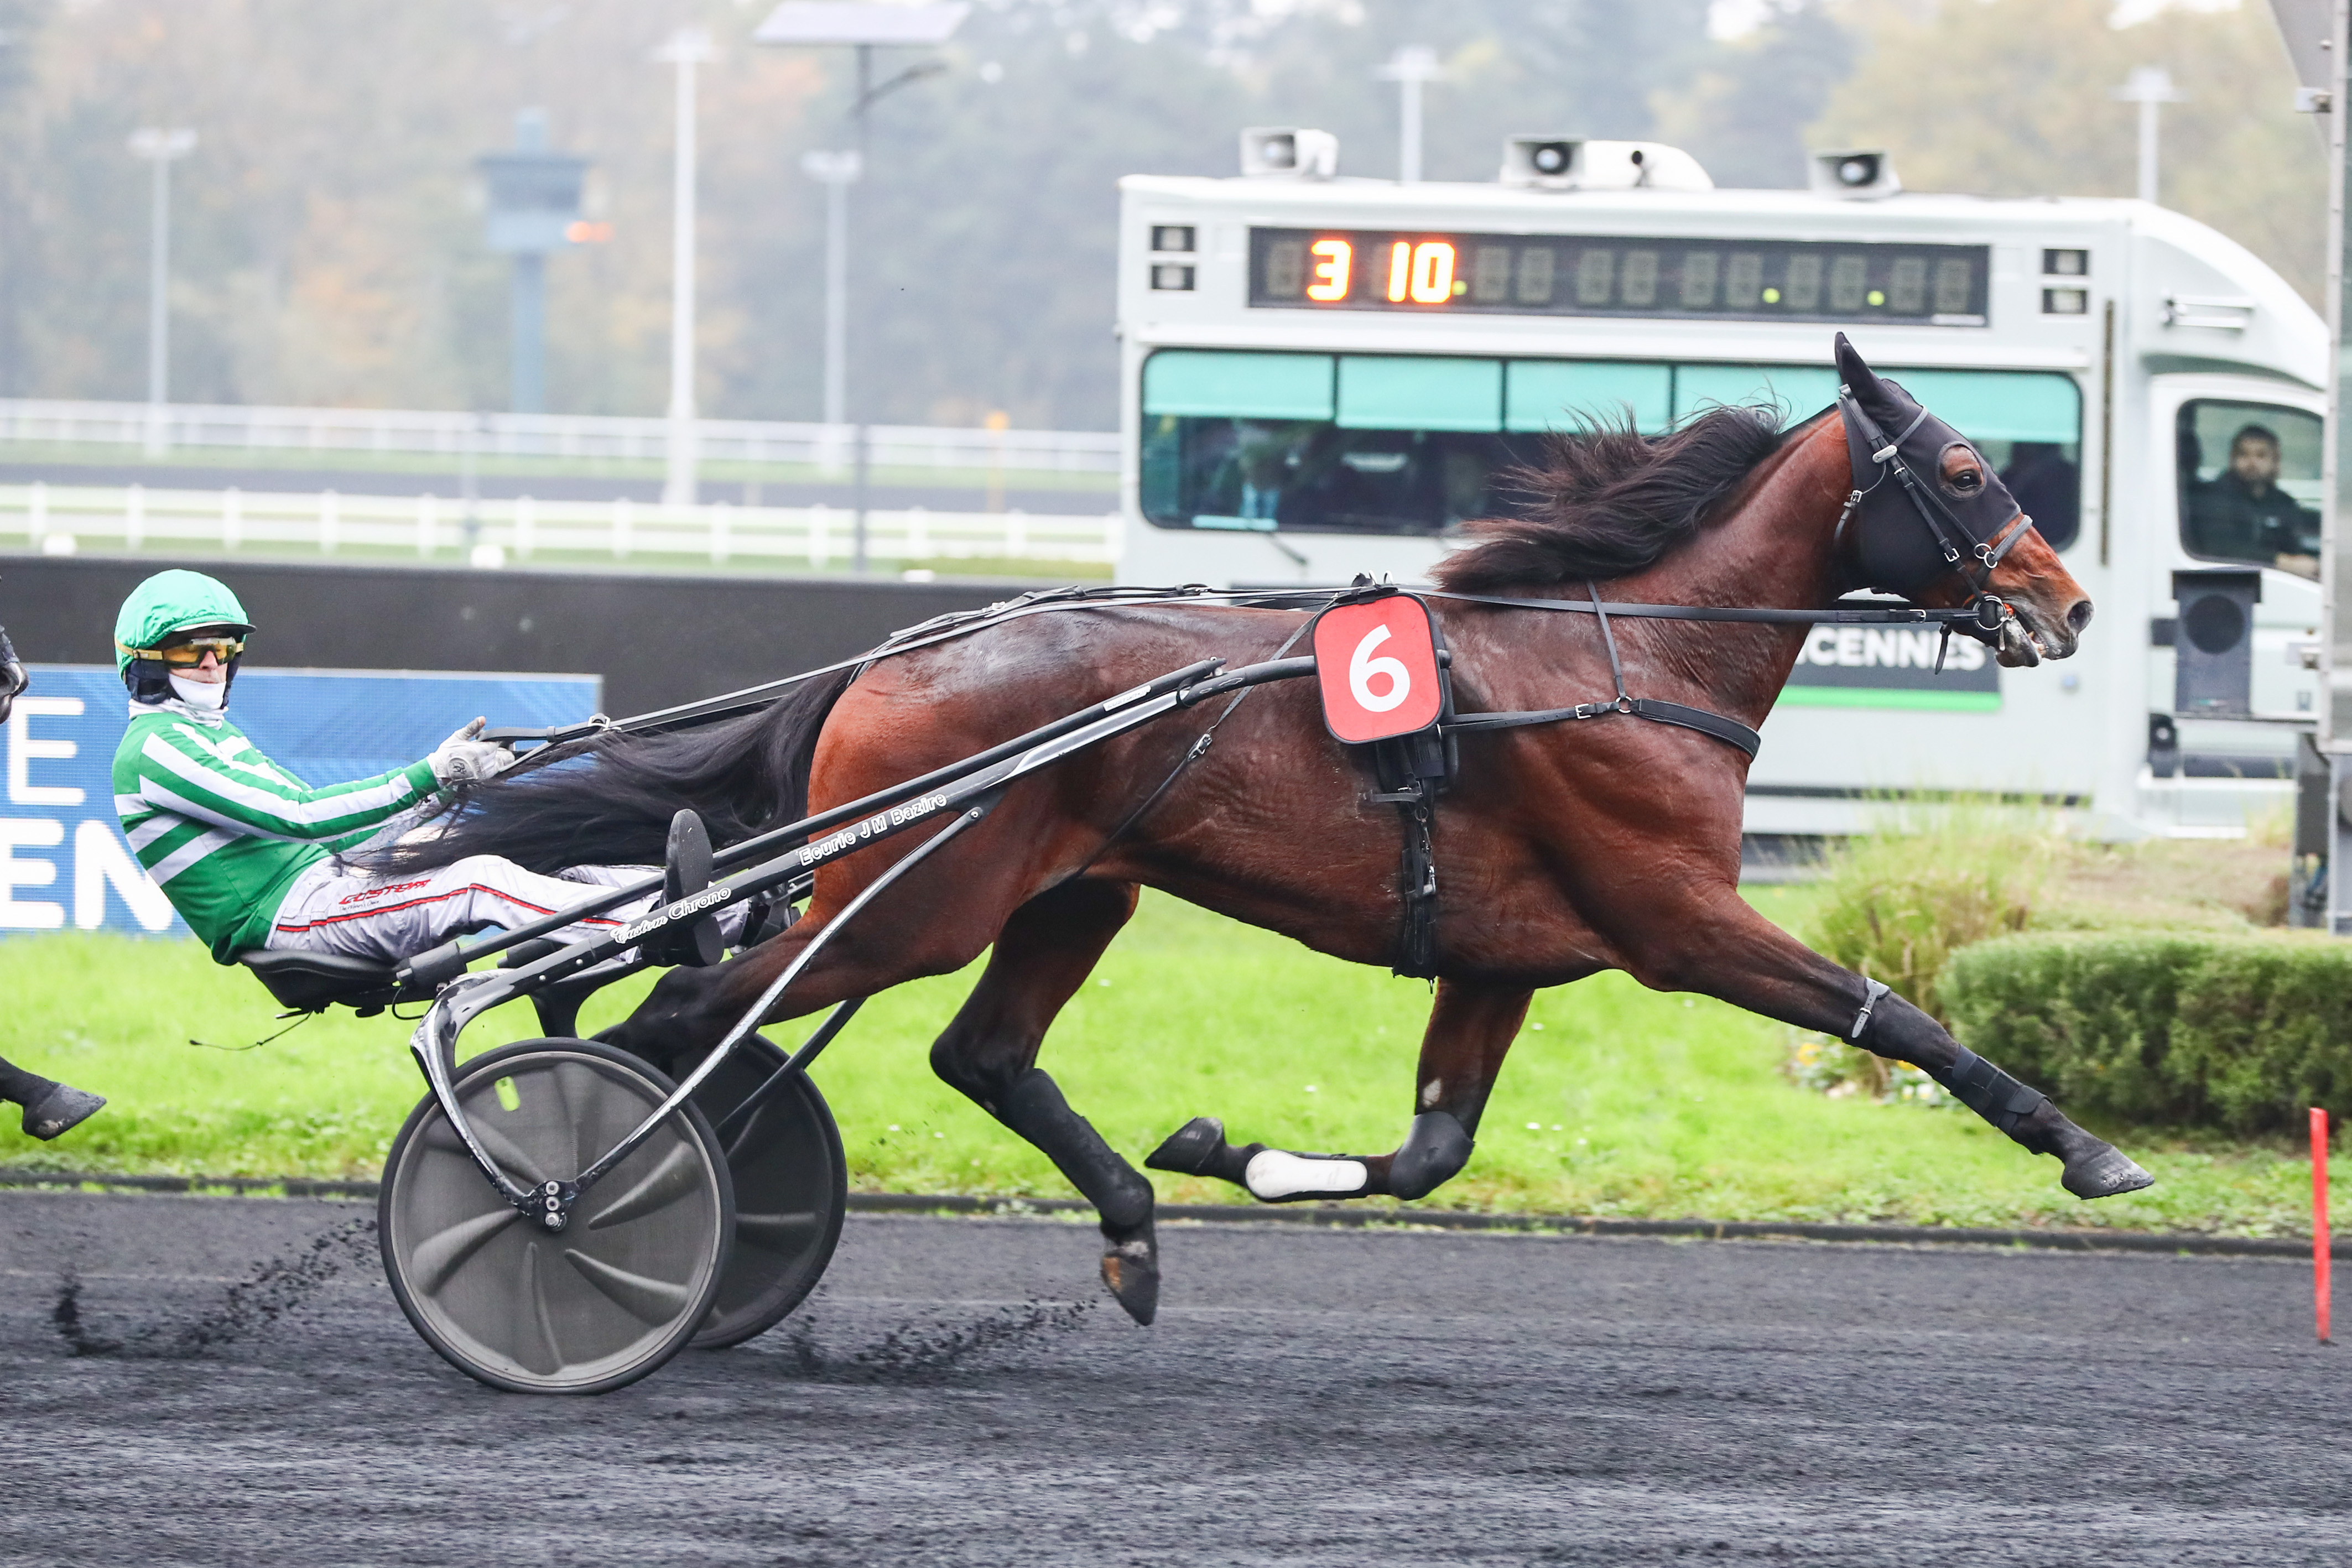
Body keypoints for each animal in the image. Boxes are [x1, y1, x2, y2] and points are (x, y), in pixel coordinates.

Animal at [405, 337, 2140, 1325]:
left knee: (972, 1054)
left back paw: (1126, 1226)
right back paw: (579, 1204)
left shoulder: (1506, 951)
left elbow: (1431, 1151)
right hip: (913, 899)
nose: (2065, 605)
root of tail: (889, 656)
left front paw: (1218, 1150)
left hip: (1066, 891)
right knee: (682, 1013)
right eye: (1967, 466)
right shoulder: (1678, 922)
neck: (1614, 664)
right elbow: (1896, 1015)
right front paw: (2085, 1147)